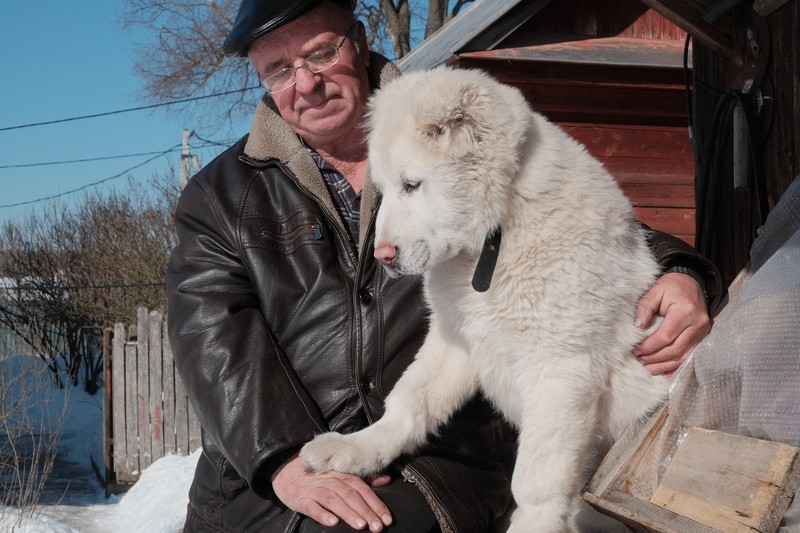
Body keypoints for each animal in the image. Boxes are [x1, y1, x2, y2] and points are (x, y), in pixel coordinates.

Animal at [300, 67, 668, 532]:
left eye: (412, 185)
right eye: (384, 189)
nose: (383, 257)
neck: (490, 241)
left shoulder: (560, 368)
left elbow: (537, 479)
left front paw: (533, 525)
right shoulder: (456, 338)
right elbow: (410, 401)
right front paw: (358, 449)